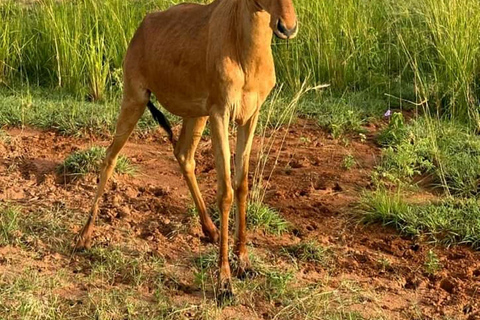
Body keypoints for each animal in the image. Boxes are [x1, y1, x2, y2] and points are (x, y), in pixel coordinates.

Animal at [76, 0, 296, 298]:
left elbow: (242, 186)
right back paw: (84, 237)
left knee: (183, 154)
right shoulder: (220, 114)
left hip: (195, 115)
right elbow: (225, 192)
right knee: (110, 155)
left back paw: (211, 230)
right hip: (135, 99)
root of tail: (144, 25)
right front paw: (224, 281)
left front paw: (244, 263)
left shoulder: (249, 117)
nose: (287, 27)